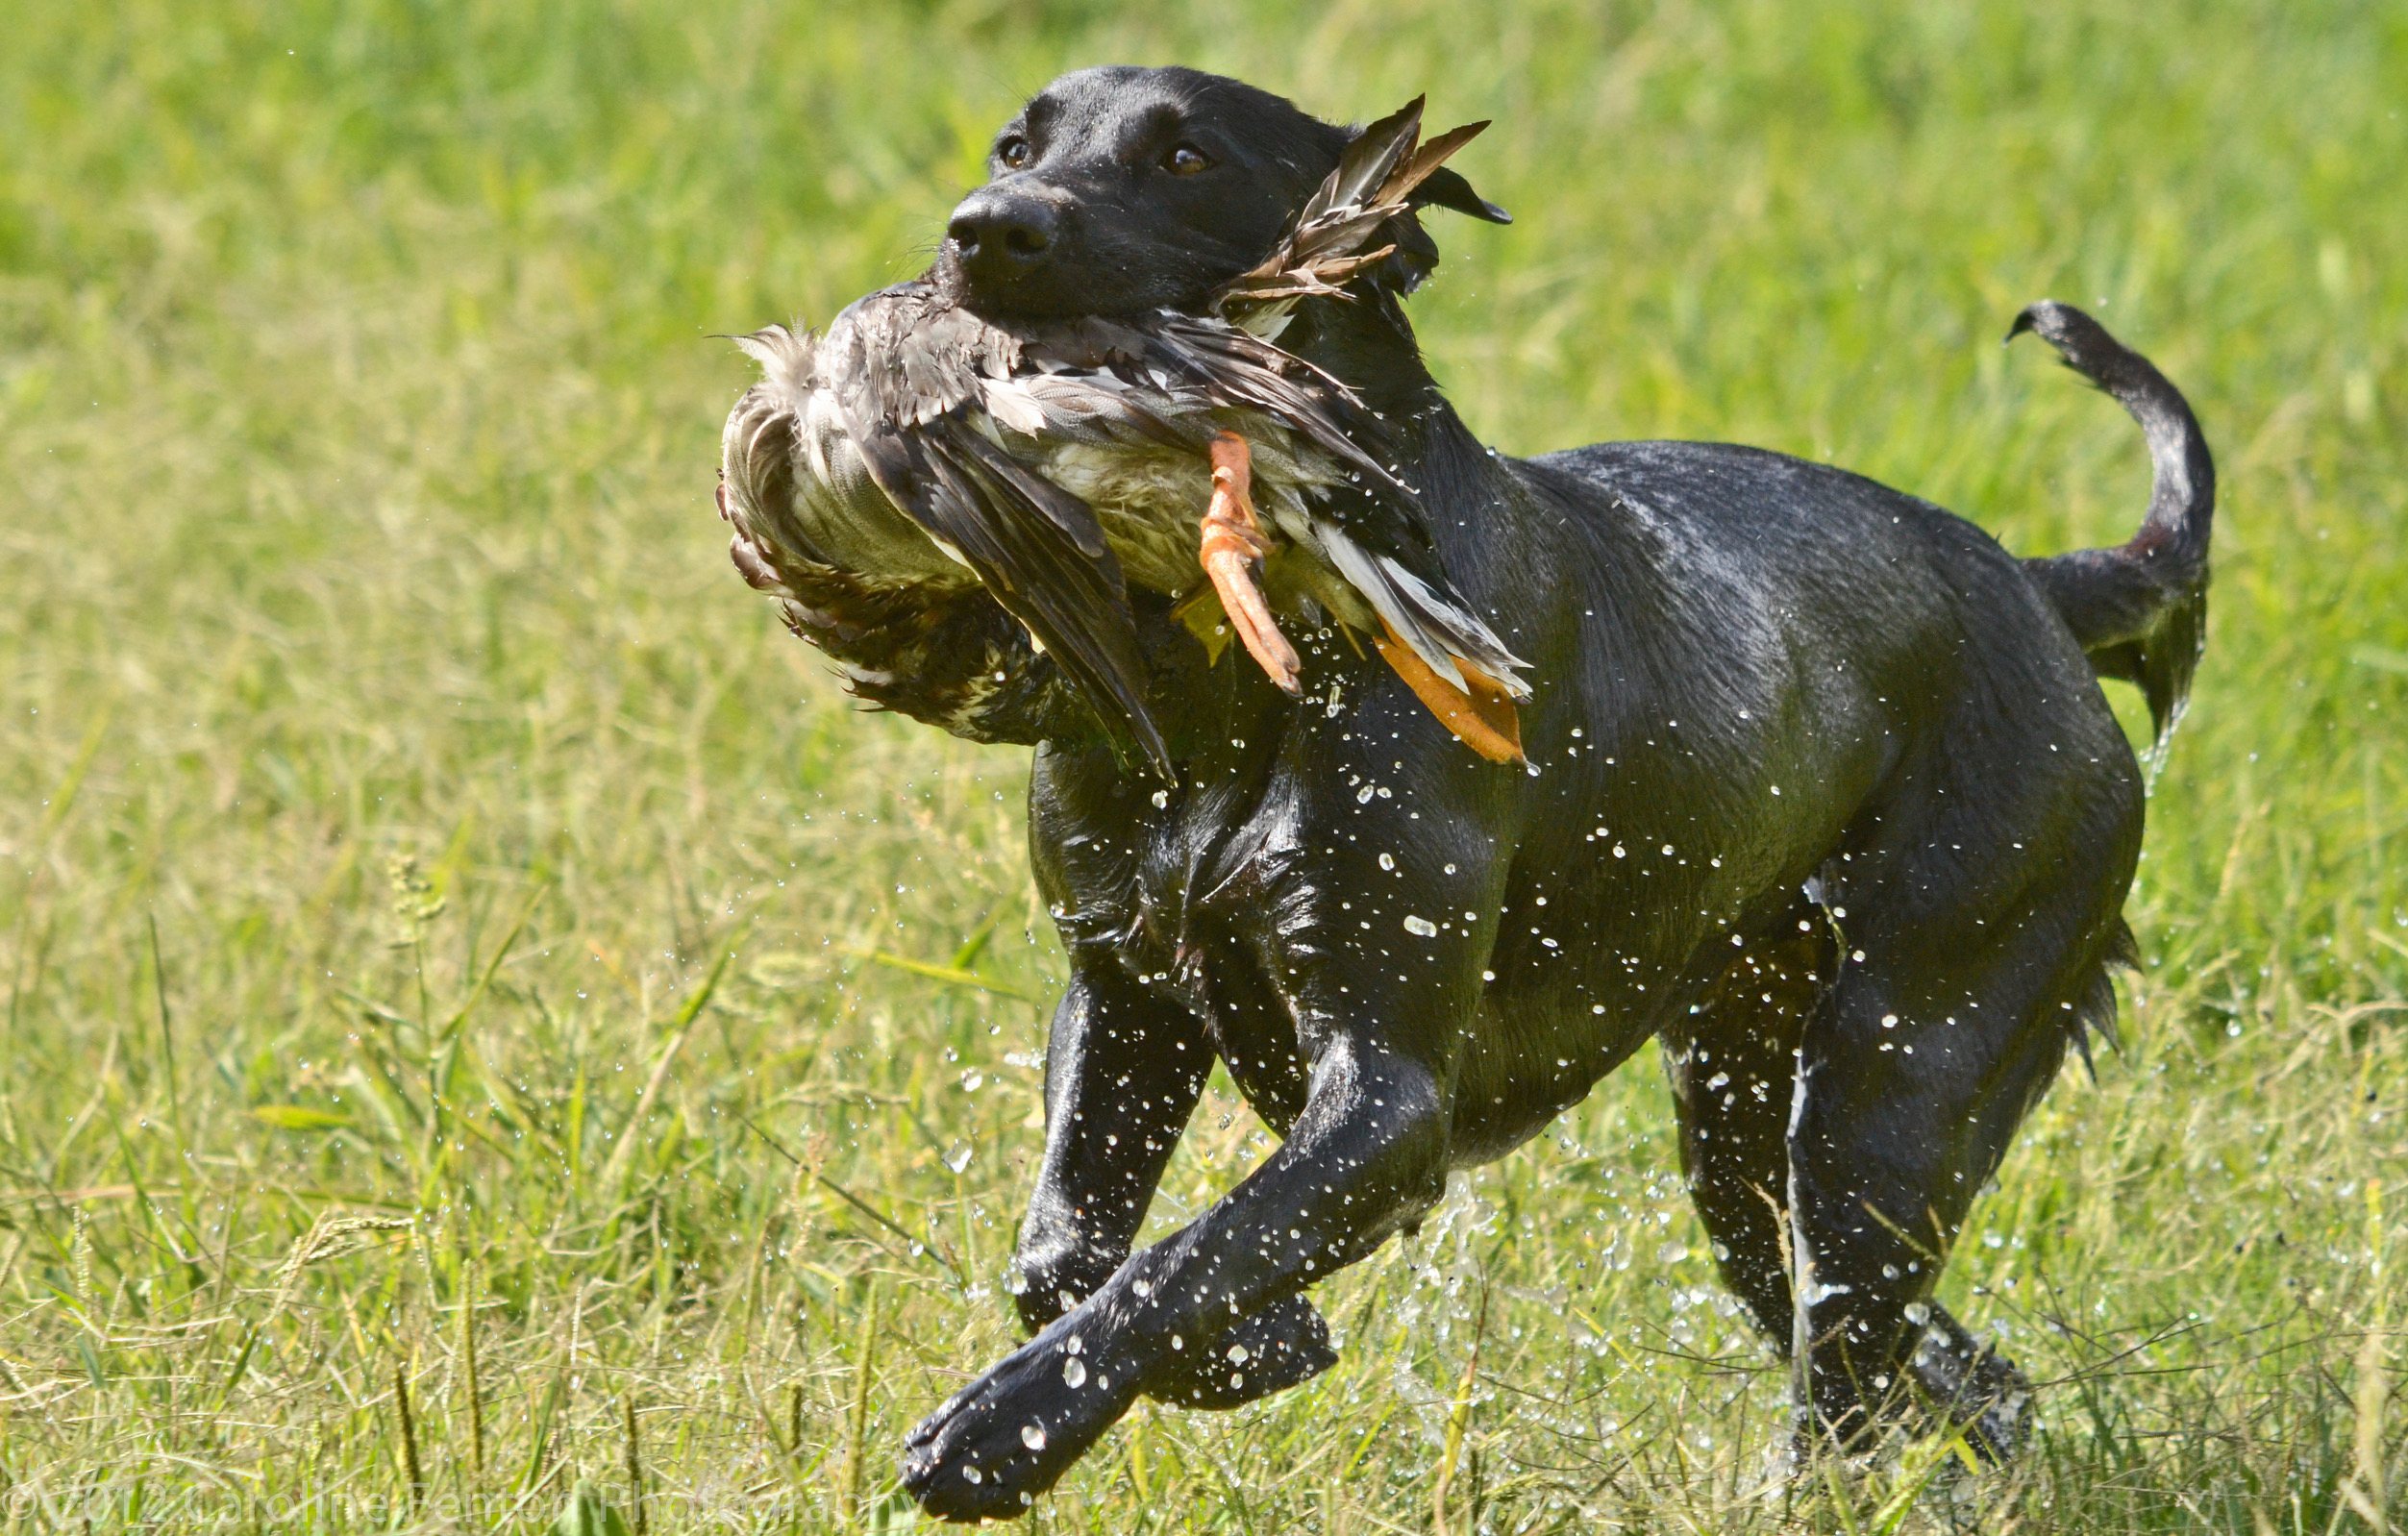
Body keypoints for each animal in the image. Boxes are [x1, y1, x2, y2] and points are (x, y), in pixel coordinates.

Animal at [741, 65, 2205, 1521]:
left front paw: (998, 1429)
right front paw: (1254, 1347)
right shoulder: (1125, 985)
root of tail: (2039, 586)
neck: (1240, 673)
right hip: (1744, 1128)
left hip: (1894, 1080)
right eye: (1013, 144)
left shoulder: (1390, 1103)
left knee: (1845, 1369)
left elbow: (1177, 1257)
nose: (986, 231)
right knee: (1929, 1360)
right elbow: (1063, 1247)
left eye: (1189, 156)